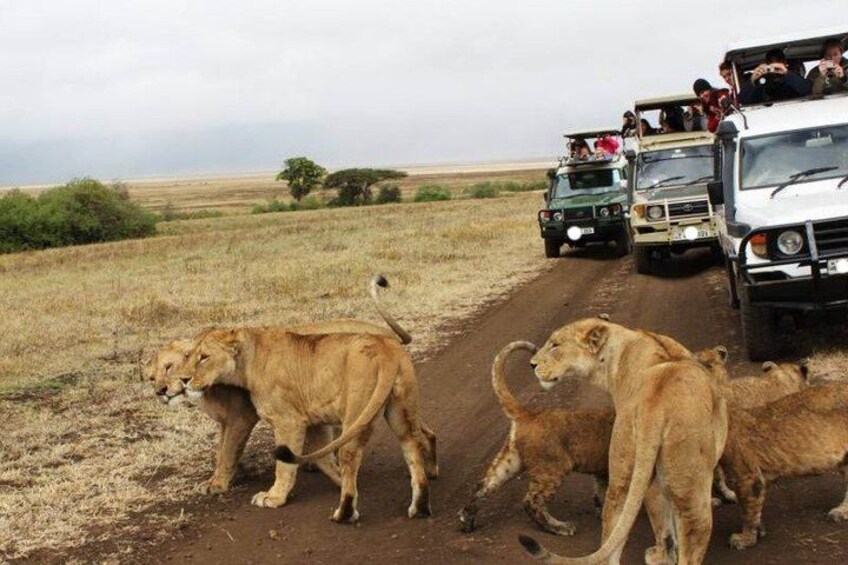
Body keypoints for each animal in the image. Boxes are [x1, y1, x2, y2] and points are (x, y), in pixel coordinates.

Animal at [143, 275, 423, 494]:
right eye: (151, 377)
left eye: (169, 366)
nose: (161, 391)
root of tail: (384, 333)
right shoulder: (225, 422)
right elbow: (221, 450)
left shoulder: (241, 417)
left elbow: (227, 452)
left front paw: (219, 484)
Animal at [181, 327, 437, 523]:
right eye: (187, 356)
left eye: (203, 357)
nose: (184, 380)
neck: (248, 359)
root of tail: (386, 350)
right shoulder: (313, 420)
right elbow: (323, 458)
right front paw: (338, 479)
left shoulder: (288, 420)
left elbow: (284, 466)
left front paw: (274, 497)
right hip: (401, 411)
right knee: (412, 446)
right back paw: (420, 506)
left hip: (357, 411)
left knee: (350, 455)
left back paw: (344, 513)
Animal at [517, 319, 727, 565]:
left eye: (555, 345)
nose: (531, 364)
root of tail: (654, 408)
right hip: (690, 486)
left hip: (624, 468)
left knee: (614, 532)